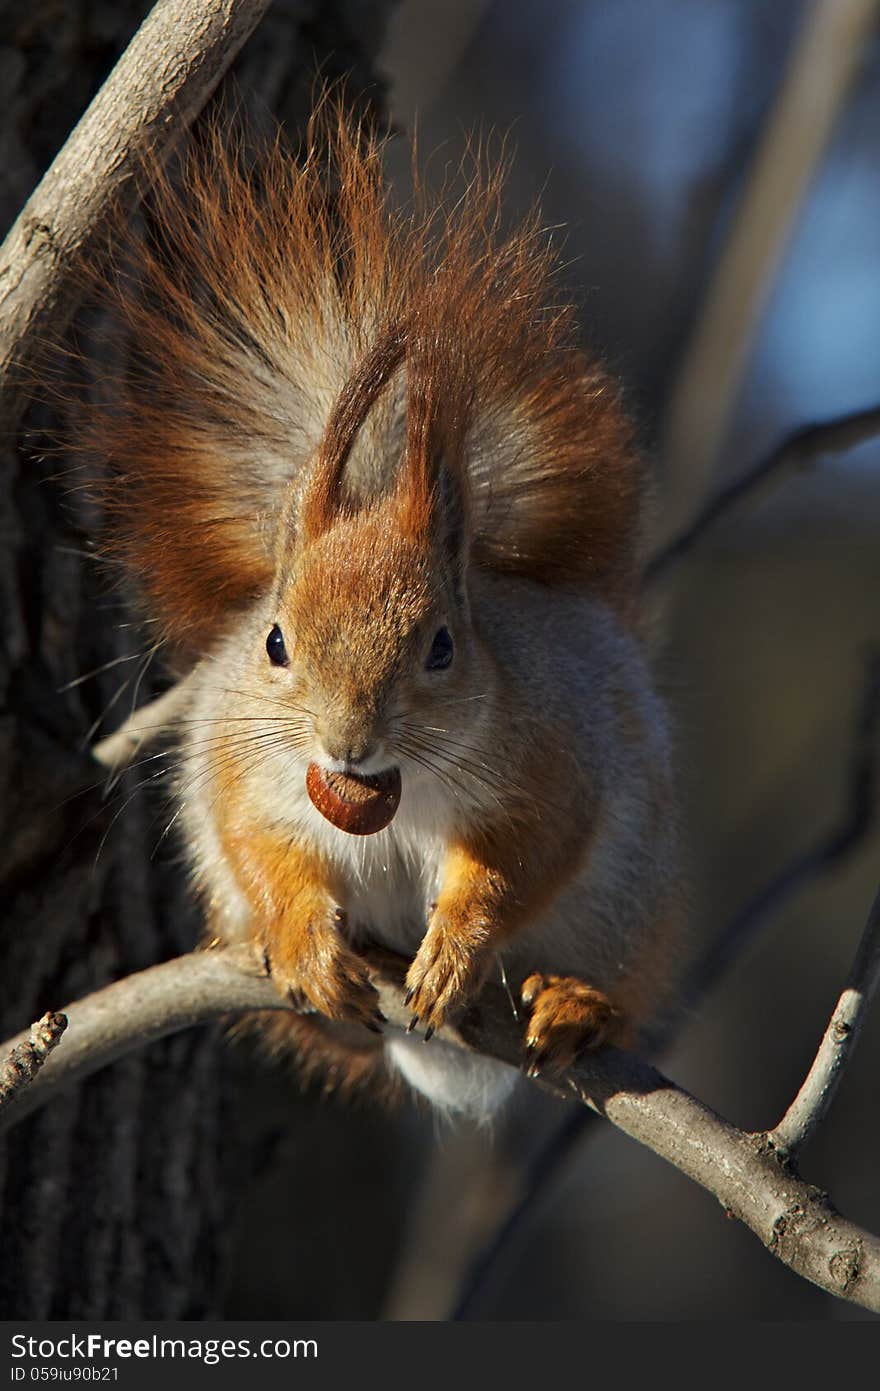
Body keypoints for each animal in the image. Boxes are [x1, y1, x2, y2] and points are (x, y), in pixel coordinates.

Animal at [80, 102, 678, 1118]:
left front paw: (457, 948)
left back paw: (575, 1004)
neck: (385, 798)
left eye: (443, 645)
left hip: (626, 899)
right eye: (274, 641)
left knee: (616, 976)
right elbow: (259, 844)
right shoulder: (242, 772)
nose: (347, 742)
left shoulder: (553, 755)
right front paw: (304, 939)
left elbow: (524, 855)